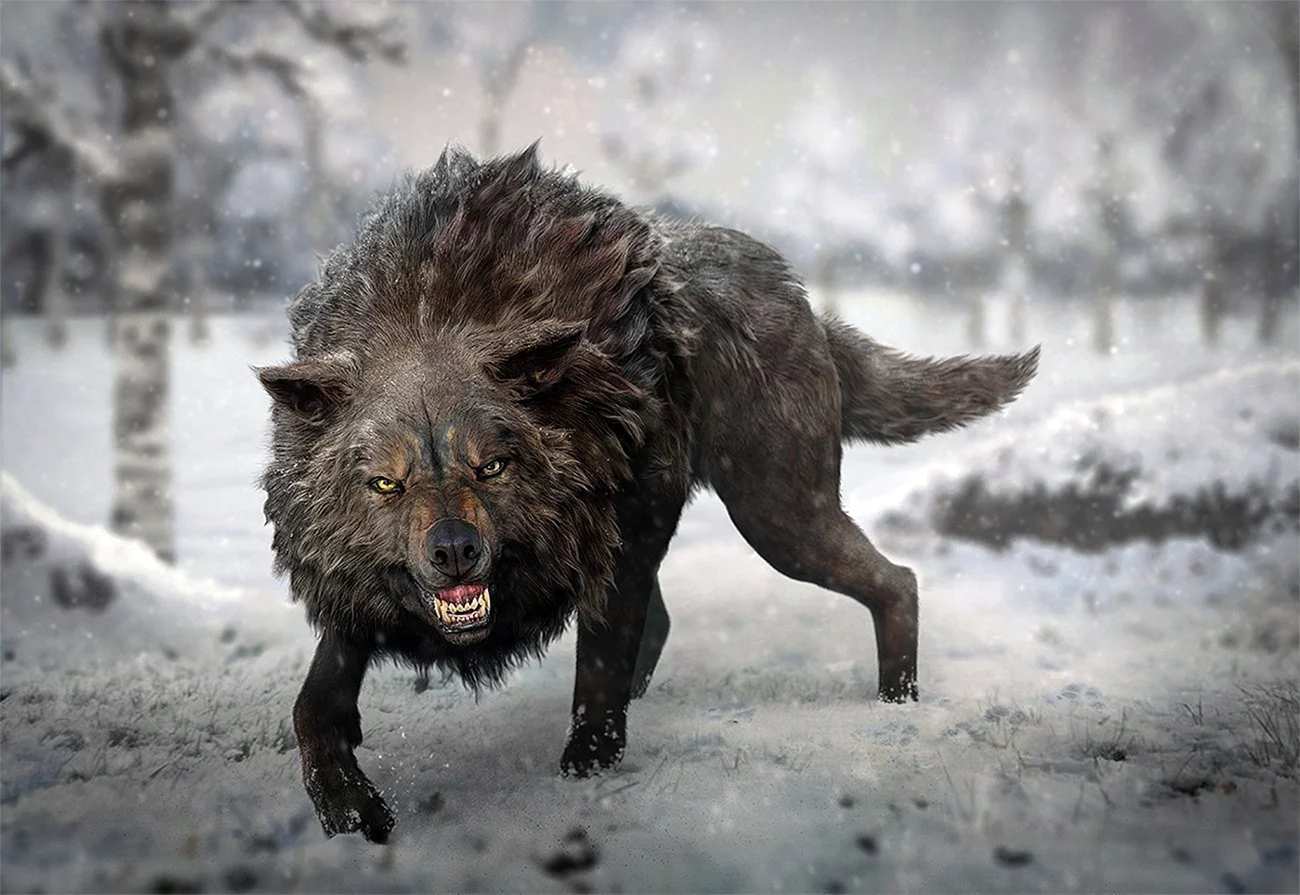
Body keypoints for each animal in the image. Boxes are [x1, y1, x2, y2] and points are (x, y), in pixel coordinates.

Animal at [257, 144, 1038, 842]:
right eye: (386, 483)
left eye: (493, 466)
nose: (454, 551)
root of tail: (809, 307)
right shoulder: (356, 582)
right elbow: (312, 704)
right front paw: (349, 810)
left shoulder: (621, 537)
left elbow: (598, 677)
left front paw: (583, 781)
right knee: (666, 620)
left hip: (778, 516)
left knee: (897, 580)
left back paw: (897, 705)